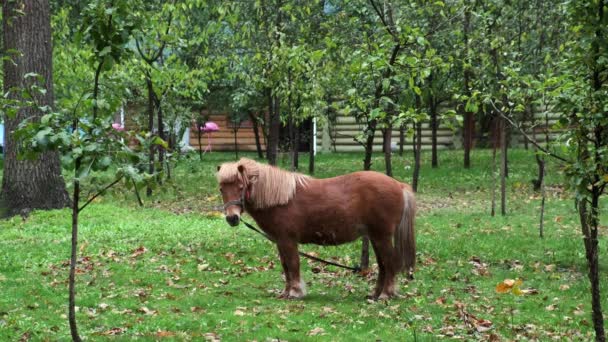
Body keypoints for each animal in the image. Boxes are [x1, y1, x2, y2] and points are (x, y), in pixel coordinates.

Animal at [216, 158, 416, 300]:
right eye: (221, 189)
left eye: (241, 187)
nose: (232, 218)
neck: (280, 198)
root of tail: (399, 185)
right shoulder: (280, 242)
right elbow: (286, 267)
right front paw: (286, 292)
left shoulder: (288, 241)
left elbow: (293, 264)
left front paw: (295, 292)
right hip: (375, 237)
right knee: (383, 265)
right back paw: (375, 294)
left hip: (382, 237)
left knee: (390, 263)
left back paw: (385, 294)